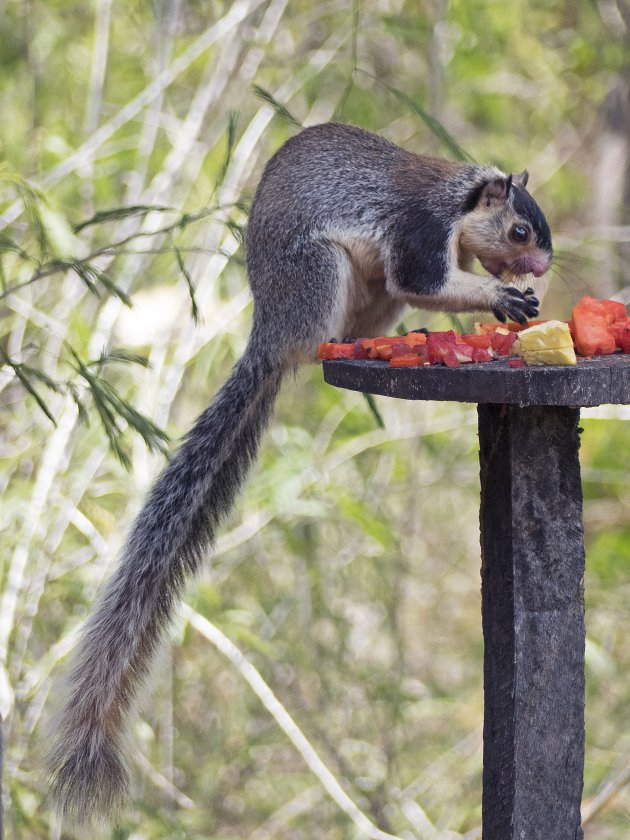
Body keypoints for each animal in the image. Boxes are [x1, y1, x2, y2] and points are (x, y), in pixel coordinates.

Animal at [48, 124, 552, 828]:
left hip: (372, 295)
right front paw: (497, 296)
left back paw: (385, 342)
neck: (457, 206)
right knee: (321, 338)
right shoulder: (419, 232)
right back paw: (336, 346)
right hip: (318, 273)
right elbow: (425, 278)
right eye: (519, 232)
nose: (543, 270)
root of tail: (271, 332)